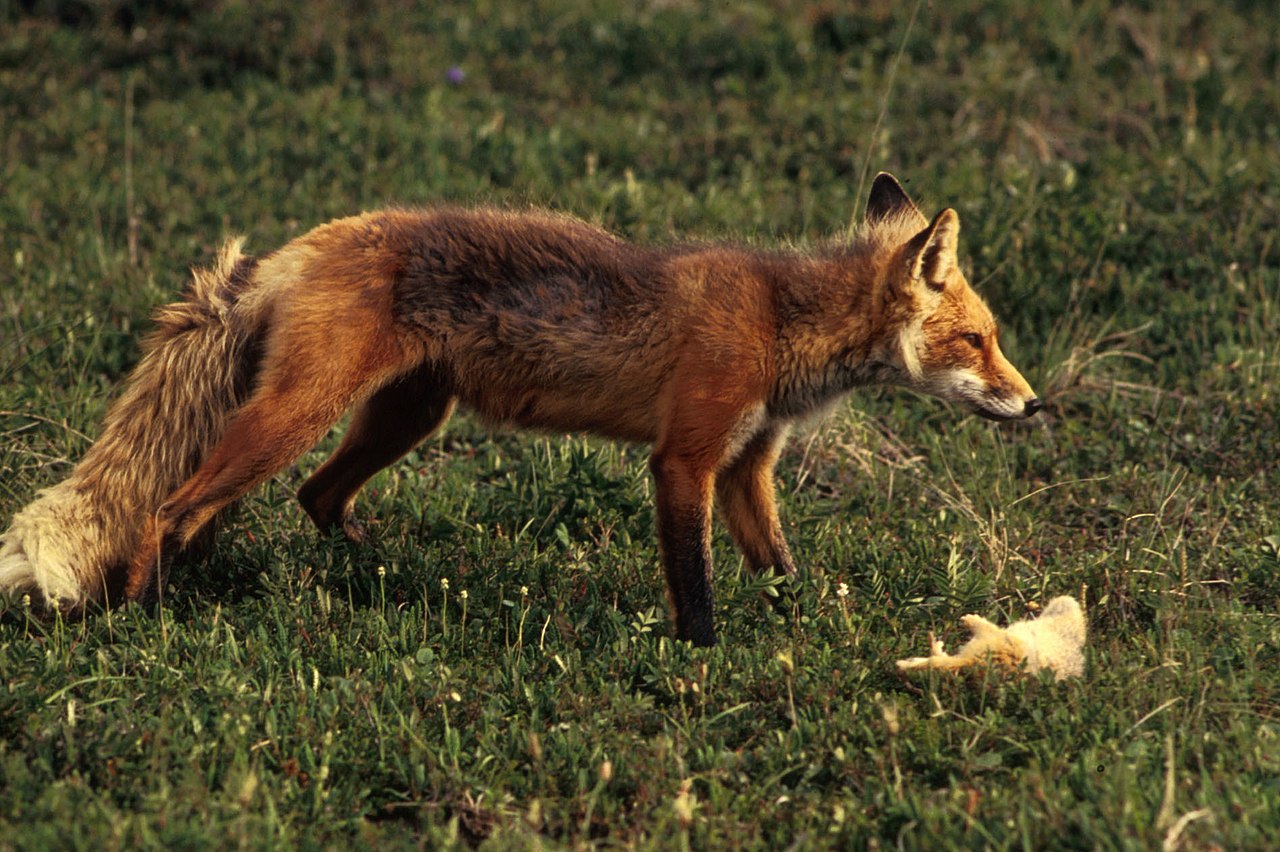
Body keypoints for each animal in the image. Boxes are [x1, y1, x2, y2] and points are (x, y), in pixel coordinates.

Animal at [0, 173, 1039, 644]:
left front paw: (810, 630)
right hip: (299, 415)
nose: (1034, 406)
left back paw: (363, 574)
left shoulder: (747, 468)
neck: (782, 321)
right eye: (979, 341)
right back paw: (146, 613)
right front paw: (705, 660)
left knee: (309, 500)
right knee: (170, 507)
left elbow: (782, 569)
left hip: (405, 418)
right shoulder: (685, 459)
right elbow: (696, 585)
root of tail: (294, 249)